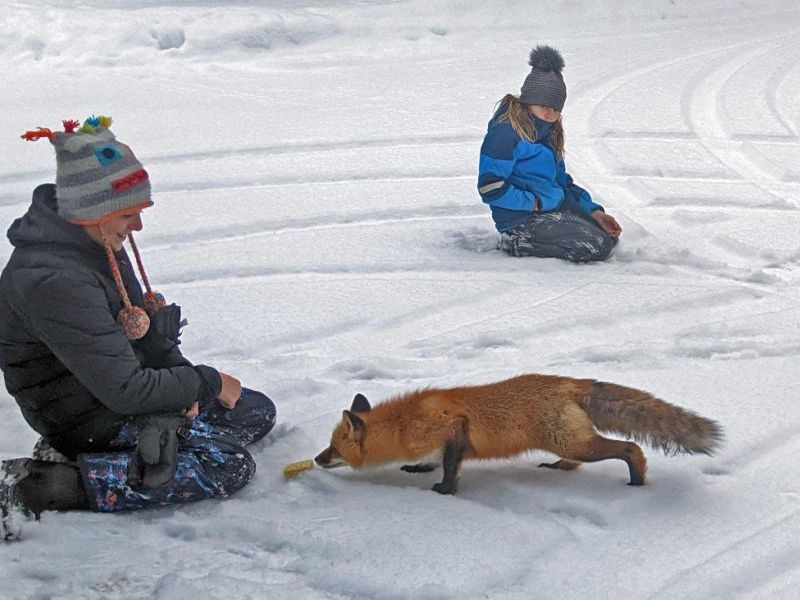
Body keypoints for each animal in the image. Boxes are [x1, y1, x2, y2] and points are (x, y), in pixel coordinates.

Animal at [314, 374, 723, 494]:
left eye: (333, 448)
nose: (316, 459)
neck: (404, 424)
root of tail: (571, 382)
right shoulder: (440, 440)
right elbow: (433, 461)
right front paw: (419, 469)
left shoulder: (455, 428)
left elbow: (450, 467)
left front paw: (445, 491)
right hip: (569, 442)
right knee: (578, 461)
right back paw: (560, 468)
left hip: (574, 442)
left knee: (632, 448)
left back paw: (637, 482)